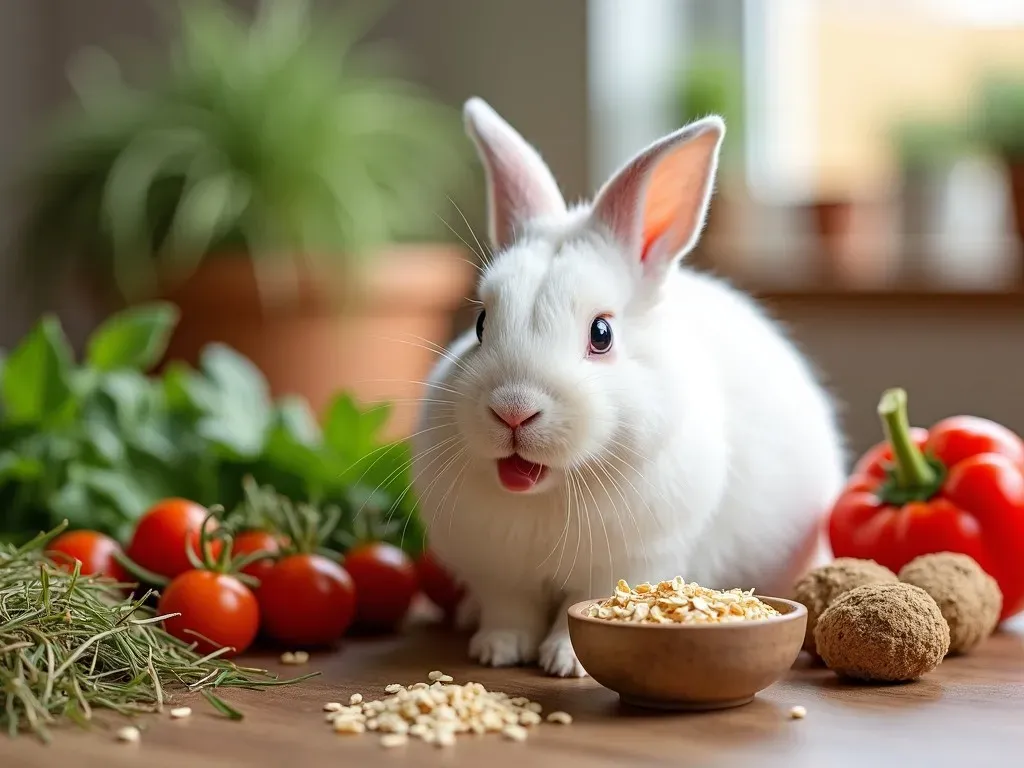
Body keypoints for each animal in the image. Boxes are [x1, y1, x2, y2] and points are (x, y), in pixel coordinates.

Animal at [409, 97, 847, 679]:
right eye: (481, 324)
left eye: (602, 334)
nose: (513, 410)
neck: (551, 491)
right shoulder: (500, 573)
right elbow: (510, 611)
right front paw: (496, 651)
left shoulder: (630, 560)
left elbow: (585, 606)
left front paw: (564, 662)